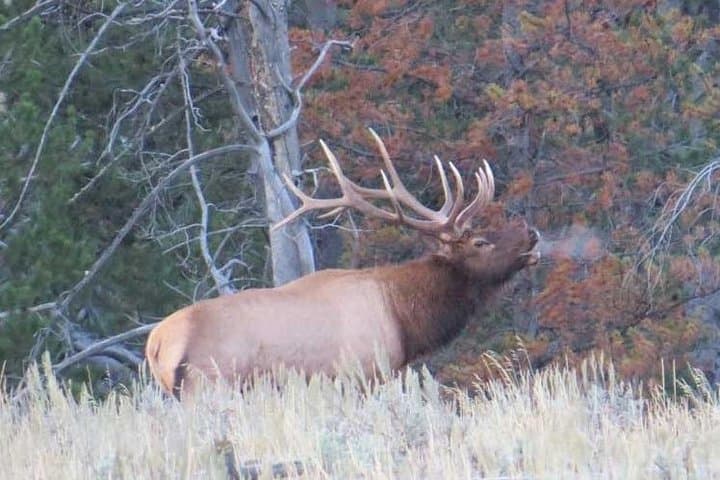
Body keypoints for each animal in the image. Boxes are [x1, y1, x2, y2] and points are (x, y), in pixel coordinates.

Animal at [145, 129, 540, 398]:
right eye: (480, 242)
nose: (531, 232)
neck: (404, 319)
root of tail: (156, 343)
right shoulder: (363, 373)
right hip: (209, 385)